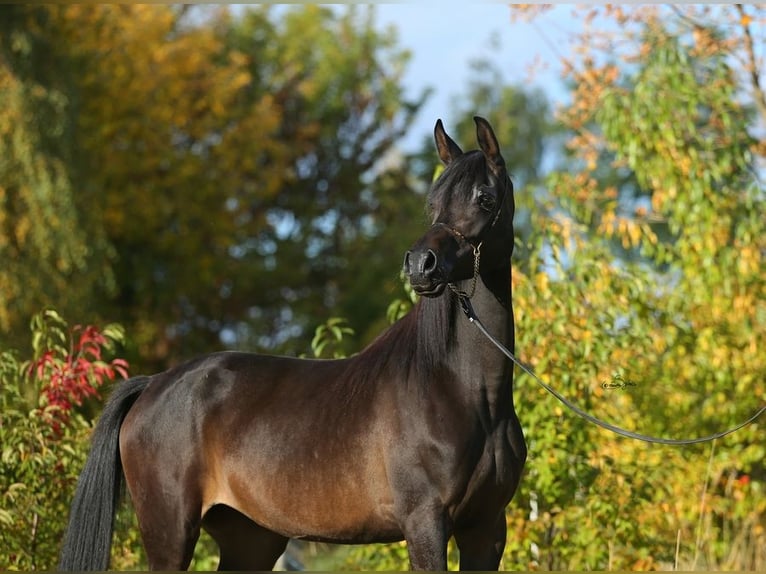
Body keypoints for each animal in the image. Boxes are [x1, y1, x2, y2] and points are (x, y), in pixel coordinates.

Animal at [58, 116, 528, 572]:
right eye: (433, 204)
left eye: (485, 199)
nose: (420, 266)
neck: (460, 390)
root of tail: (152, 386)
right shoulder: (425, 522)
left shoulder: (487, 528)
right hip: (170, 535)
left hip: (250, 540)